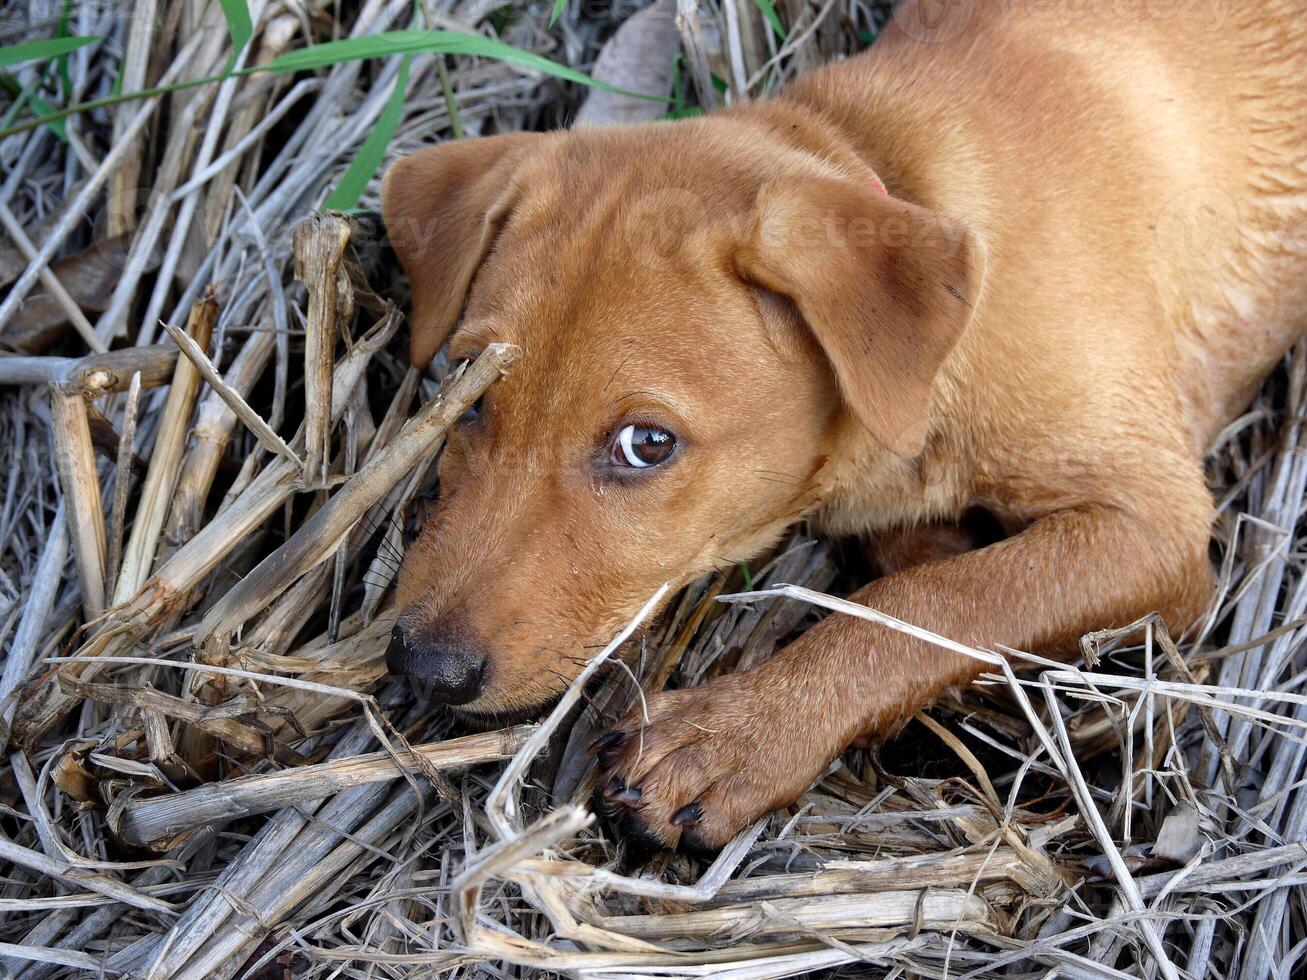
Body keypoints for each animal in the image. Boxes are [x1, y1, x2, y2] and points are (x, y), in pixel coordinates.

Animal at [379, 3, 1307, 851]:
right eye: (467, 386)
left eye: (647, 445)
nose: (425, 670)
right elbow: (920, 565)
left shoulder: (1155, 525)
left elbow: (937, 600)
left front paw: (733, 737)